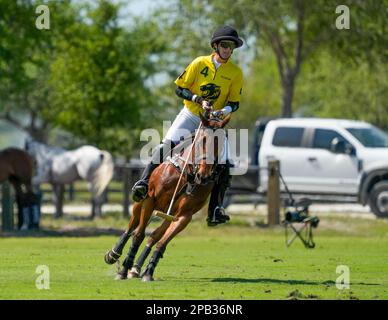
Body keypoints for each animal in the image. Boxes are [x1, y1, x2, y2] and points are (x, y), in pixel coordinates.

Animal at [104, 112, 230, 280]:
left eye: (220, 143)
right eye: (202, 140)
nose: (203, 176)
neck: (188, 173)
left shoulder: (184, 216)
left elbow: (161, 242)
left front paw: (148, 272)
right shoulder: (150, 200)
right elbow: (138, 235)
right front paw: (123, 270)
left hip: (167, 214)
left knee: (154, 235)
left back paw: (136, 268)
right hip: (141, 201)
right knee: (131, 227)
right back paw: (114, 254)